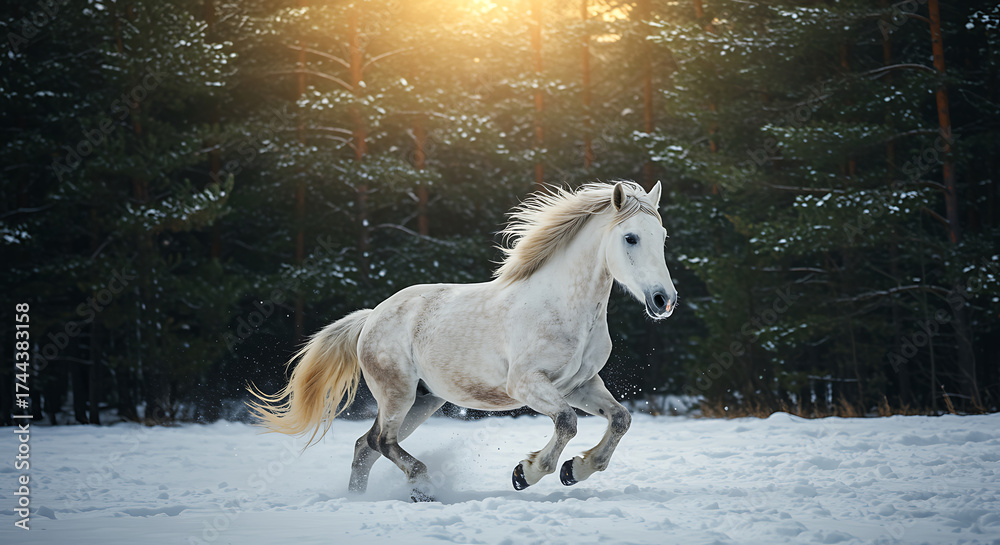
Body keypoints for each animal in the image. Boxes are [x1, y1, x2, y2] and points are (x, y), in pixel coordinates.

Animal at [248, 180, 677, 501]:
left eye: (662, 236)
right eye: (631, 238)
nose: (664, 300)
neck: (563, 307)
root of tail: (371, 317)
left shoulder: (580, 385)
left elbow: (620, 419)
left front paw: (575, 470)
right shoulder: (527, 384)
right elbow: (567, 422)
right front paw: (525, 473)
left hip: (424, 400)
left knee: (364, 447)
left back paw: (362, 500)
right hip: (397, 393)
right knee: (380, 441)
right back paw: (422, 485)